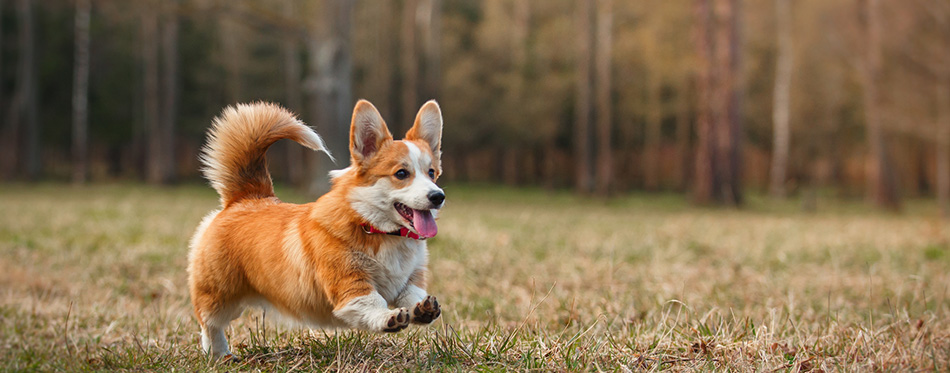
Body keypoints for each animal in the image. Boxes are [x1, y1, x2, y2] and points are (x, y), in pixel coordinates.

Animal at [191, 99, 450, 360]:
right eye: (401, 173)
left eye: (431, 173)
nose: (438, 196)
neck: (378, 230)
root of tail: (246, 197)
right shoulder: (350, 284)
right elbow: (372, 302)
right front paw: (388, 317)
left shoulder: (410, 279)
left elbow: (412, 294)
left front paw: (423, 309)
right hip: (219, 295)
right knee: (209, 323)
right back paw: (218, 355)